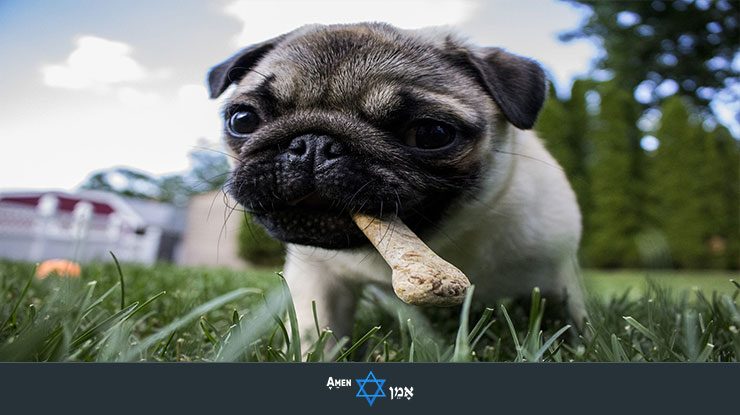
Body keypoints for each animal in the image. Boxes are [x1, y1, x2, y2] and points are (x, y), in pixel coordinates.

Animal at [207, 22, 584, 342]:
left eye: (432, 134)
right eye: (243, 119)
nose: (313, 144)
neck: (439, 241)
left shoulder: (557, 273)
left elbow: (572, 322)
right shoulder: (318, 277)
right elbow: (314, 332)